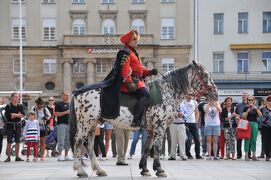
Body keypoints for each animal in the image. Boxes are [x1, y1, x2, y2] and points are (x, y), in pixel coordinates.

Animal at [69, 60, 218, 177]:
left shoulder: (151, 129)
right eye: (205, 75)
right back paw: (80, 170)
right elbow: (157, 147)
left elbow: (147, 147)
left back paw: (99, 170)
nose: (215, 93)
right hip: (84, 124)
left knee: (89, 145)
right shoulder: (160, 127)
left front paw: (145, 169)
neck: (166, 91)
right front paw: (159, 169)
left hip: (93, 124)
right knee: (78, 142)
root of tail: (78, 91)